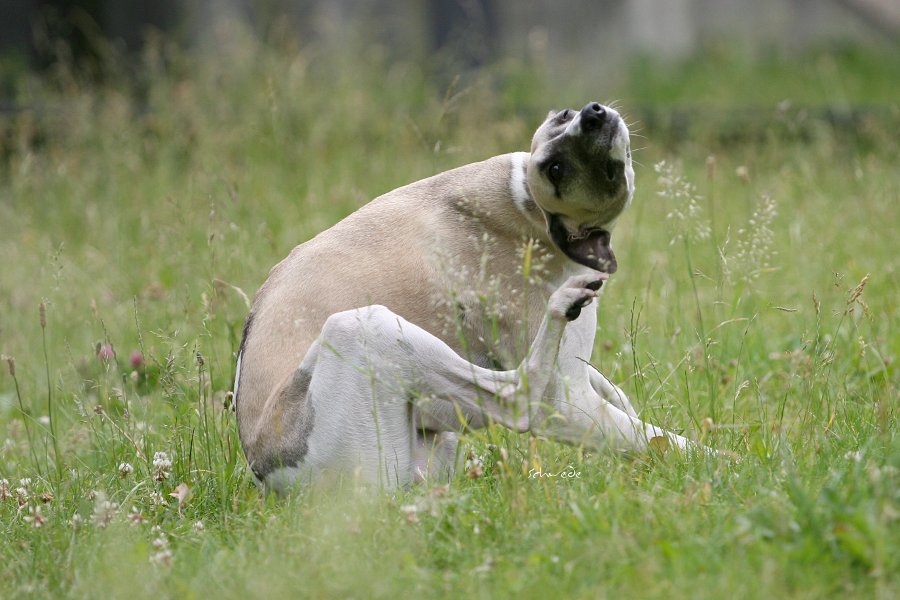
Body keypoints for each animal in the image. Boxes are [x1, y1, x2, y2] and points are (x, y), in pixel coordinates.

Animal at [236, 101, 700, 490]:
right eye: (555, 169)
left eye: (563, 116)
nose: (592, 113)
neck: (523, 207)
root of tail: (265, 474)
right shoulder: (569, 400)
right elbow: (663, 440)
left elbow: (616, 393)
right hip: (364, 328)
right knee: (521, 398)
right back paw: (559, 309)